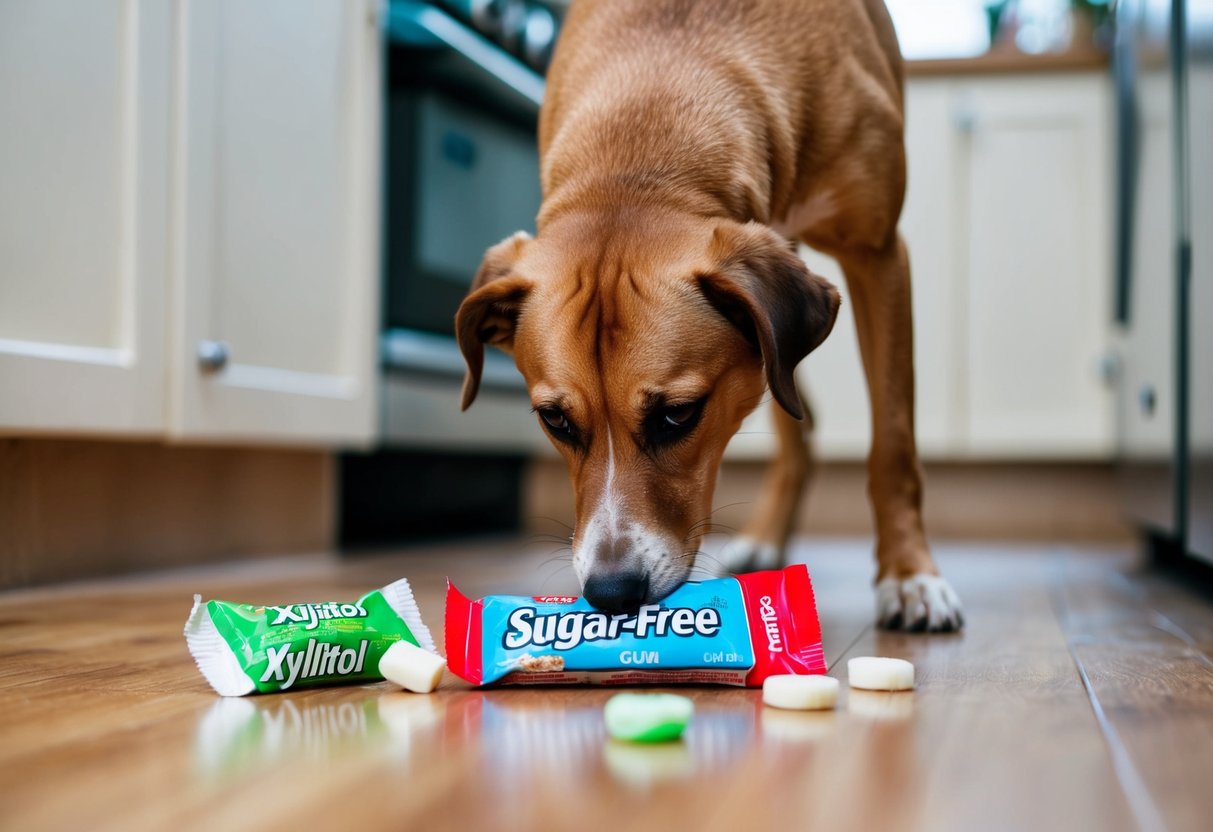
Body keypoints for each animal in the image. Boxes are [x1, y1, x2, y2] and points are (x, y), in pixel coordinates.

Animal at [456, 0, 965, 630]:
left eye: (678, 415)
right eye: (555, 421)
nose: (612, 592)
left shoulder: (879, 253)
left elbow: (893, 442)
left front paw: (910, 575)